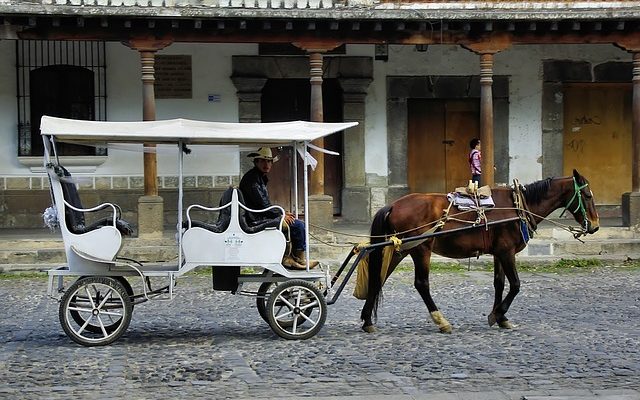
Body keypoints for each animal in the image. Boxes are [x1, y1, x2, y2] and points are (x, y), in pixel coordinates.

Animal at [360, 170, 600, 334]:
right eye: (588, 196)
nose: (595, 226)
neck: (519, 206)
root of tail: (393, 205)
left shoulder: (499, 252)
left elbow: (499, 283)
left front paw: (502, 317)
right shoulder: (507, 251)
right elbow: (515, 285)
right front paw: (497, 314)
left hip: (400, 249)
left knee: (378, 278)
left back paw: (367, 320)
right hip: (420, 249)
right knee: (421, 284)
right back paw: (441, 321)